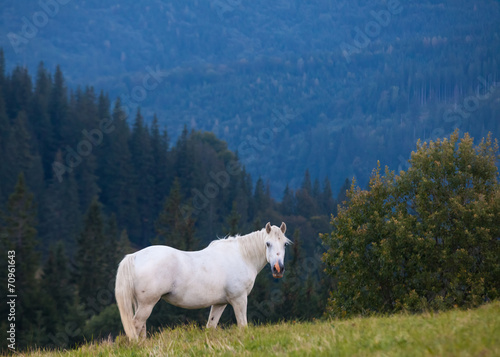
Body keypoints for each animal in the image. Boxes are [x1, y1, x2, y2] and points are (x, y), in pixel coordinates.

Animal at [115, 220, 292, 340]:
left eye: (284, 244)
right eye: (267, 243)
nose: (278, 269)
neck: (242, 256)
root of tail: (135, 256)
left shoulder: (220, 303)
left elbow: (211, 326)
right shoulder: (239, 299)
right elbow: (243, 326)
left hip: (141, 303)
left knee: (141, 327)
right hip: (147, 303)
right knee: (136, 325)